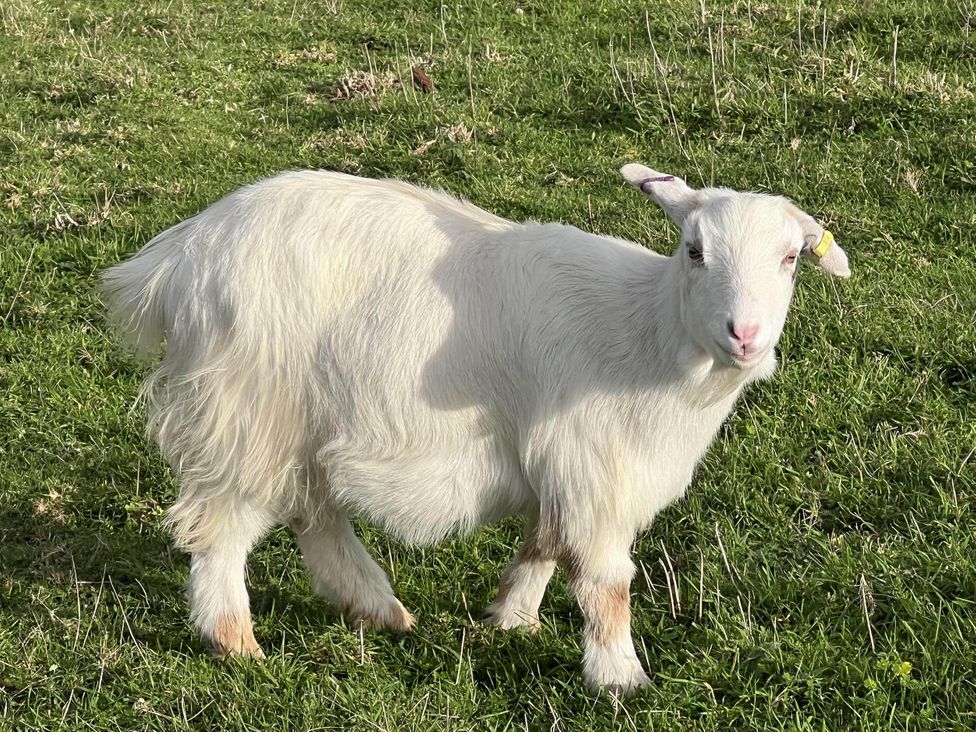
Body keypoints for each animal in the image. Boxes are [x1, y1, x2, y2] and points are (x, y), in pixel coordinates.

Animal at [101, 164, 850, 692]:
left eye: (791, 257)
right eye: (694, 250)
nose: (745, 334)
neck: (647, 337)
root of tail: (181, 256)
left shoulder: (562, 463)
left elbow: (544, 543)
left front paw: (511, 619)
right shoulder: (593, 464)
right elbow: (604, 579)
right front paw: (620, 677)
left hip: (293, 424)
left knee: (314, 515)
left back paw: (377, 608)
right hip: (250, 410)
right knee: (224, 526)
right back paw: (236, 639)